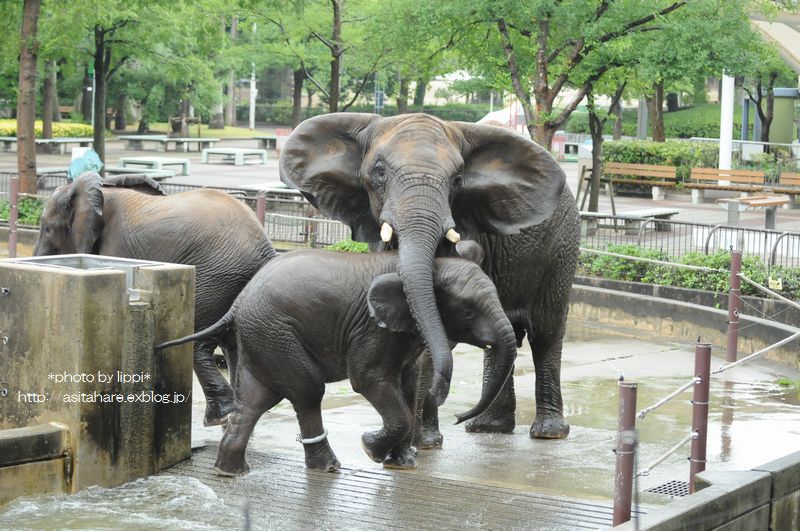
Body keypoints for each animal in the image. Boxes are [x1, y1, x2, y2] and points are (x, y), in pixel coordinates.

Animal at [33, 175, 278, 428]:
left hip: (216, 278)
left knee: (198, 342)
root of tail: (266, 250)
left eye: (47, 228)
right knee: (234, 344)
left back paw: (217, 418)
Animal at [159, 247, 516, 476]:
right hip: (276, 333)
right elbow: (369, 380)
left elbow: (409, 385)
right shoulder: (371, 329)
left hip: (262, 337)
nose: (458, 417)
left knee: (256, 400)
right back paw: (327, 467)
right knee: (307, 391)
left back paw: (231, 472)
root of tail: (238, 302)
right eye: (467, 310)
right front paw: (371, 448)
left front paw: (402, 463)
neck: (431, 269)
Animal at [278, 113, 580, 444]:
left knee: (546, 334)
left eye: (458, 179)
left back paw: (548, 433)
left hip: (561, 251)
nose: (455, 413)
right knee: (504, 340)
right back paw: (488, 427)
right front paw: (420, 440)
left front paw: (421, 442)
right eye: (379, 172)